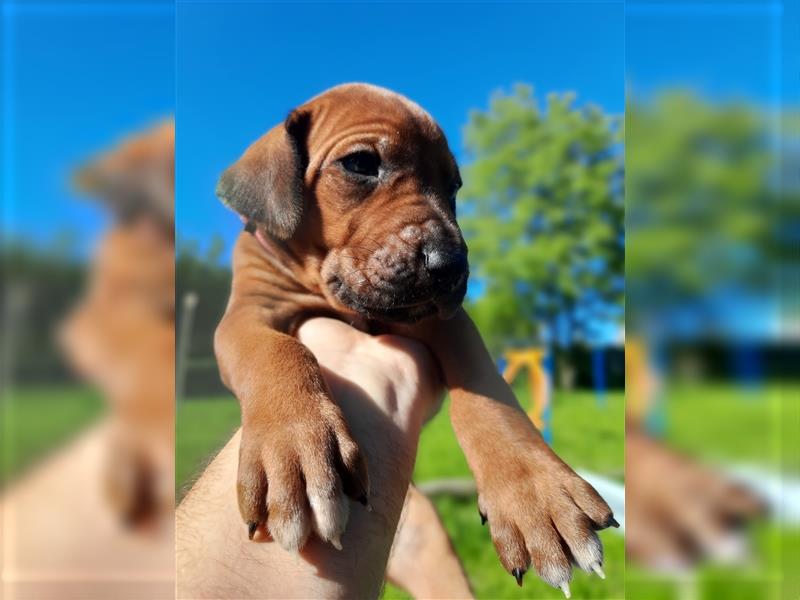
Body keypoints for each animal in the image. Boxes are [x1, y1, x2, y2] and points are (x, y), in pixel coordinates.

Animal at [216, 83, 616, 592]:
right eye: (361, 164)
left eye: (453, 189)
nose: (451, 265)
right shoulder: (246, 313)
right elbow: (275, 350)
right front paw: (296, 449)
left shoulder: (444, 321)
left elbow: (488, 393)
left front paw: (535, 492)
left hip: (431, 553)